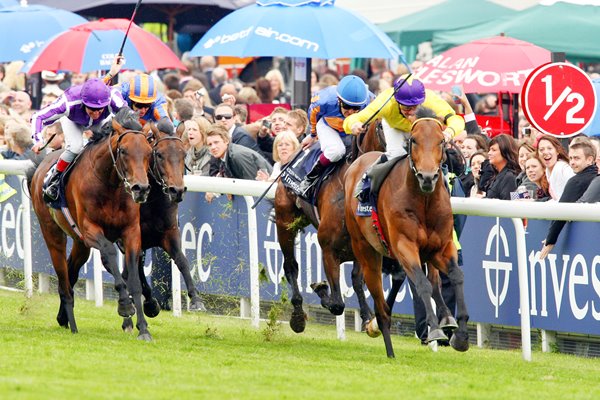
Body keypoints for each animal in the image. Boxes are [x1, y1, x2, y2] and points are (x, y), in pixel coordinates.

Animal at [28, 108, 155, 340]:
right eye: (123, 151)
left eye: (149, 152)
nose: (140, 188)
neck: (111, 186)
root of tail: (40, 167)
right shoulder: (90, 230)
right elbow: (110, 254)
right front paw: (124, 306)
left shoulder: (132, 231)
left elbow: (134, 281)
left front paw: (143, 328)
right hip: (53, 234)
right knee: (64, 281)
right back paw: (72, 324)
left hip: (80, 244)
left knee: (71, 271)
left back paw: (63, 317)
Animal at [276, 120, 384, 332]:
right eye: (382, 127)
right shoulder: (328, 250)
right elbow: (337, 304)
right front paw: (320, 287)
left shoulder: (362, 248)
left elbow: (357, 280)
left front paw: (367, 317)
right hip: (285, 222)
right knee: (291, 266)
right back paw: (298, 316)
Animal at [342, 114, 468, 358]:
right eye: (414, 140)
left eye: (441, 141)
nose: (427, 177)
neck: (424, 200)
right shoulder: (404, 246)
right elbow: (422, 284)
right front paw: (436, 331)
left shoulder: (442, 246)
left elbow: (455, 276)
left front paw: (461, 335)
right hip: (366, 250)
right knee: (380, 305)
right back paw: (386, 344)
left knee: (435, 281)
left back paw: (446, 317)